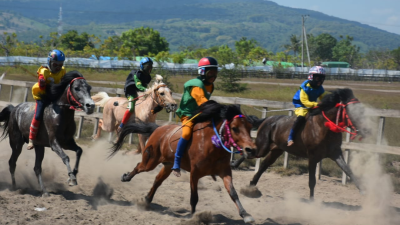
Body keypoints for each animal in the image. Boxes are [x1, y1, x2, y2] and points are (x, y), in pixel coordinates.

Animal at [109, 100, 258, 223]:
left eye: (250, 127)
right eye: (234, 128)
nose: (251, 149)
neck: (211, 144)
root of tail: (158, 129)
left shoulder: (225, 171)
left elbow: (233, 193)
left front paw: (245, 214)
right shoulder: (194, 173)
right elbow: (194, 197)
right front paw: (194, 217)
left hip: (168, 166)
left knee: (157, 180)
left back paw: (146, 199)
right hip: (150, 161)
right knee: (139, 167)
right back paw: (126, 177)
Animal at [234, 88, 368, 199]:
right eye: (354, 111)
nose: (365, 129)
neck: (324, 127)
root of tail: (267, 119)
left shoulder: (335, 153)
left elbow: (348, 171)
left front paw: (363, 191)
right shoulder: (312, 156)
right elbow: (312, 181)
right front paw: (311, 201)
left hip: (277, 150)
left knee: (264, 165)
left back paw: (251, 187)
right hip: (263, 146)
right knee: (251, 153)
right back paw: (235, 165)